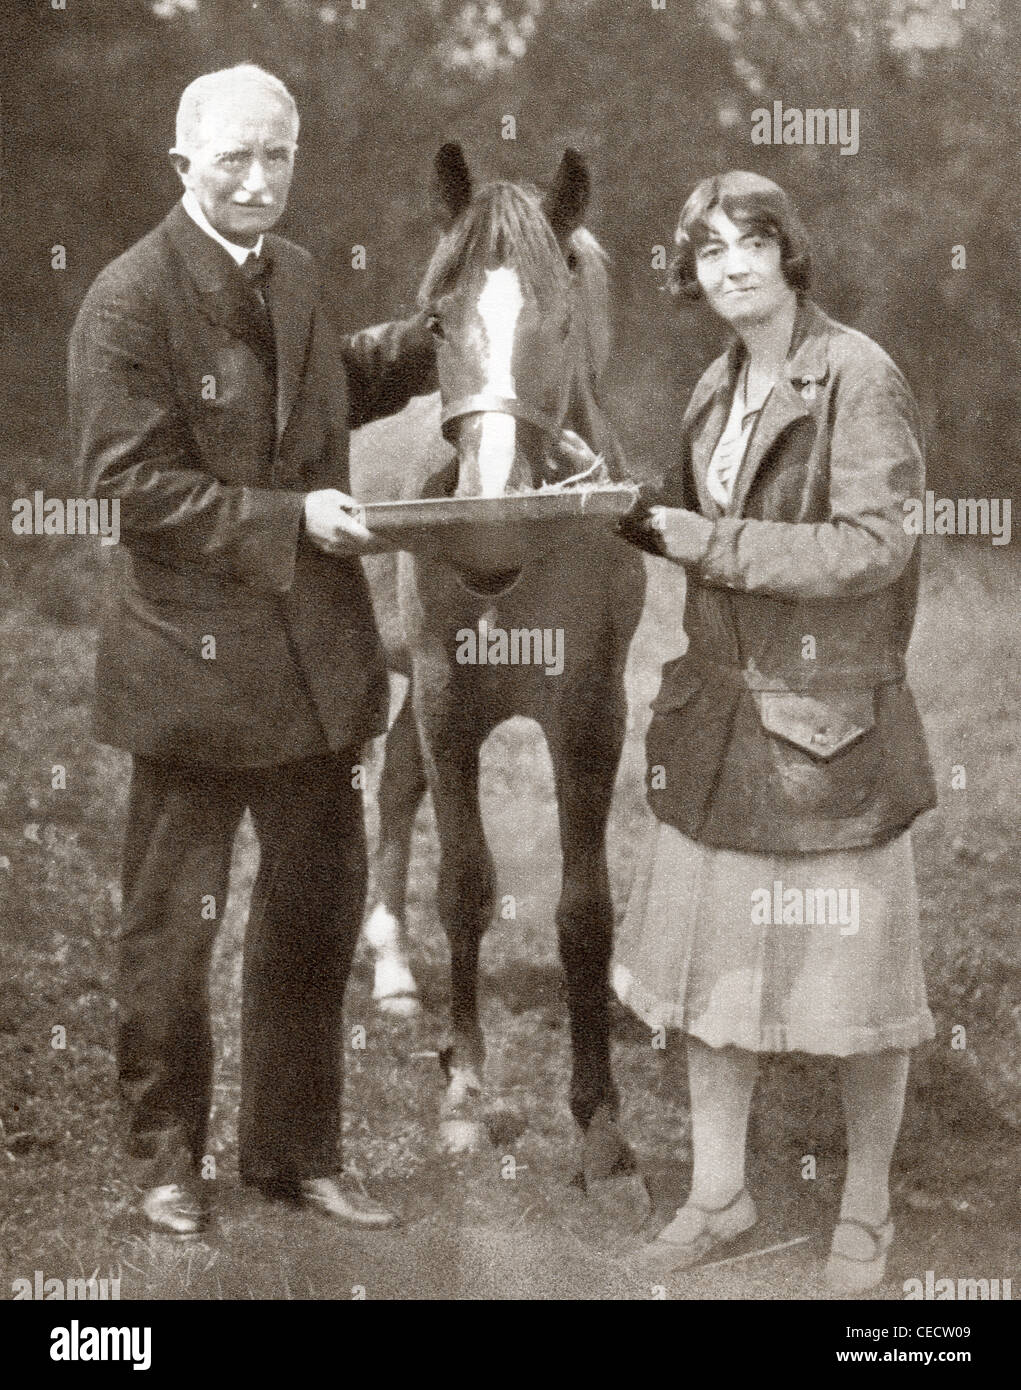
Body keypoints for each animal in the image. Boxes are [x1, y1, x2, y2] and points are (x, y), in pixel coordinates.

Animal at [351, 143, 647, 1195]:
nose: (485, 523)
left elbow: (585, 909)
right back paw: (393, 967)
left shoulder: (591, 715)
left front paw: (599, 1121)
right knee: (392, 786)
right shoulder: (449, 698)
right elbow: (467, 887)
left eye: (561, 321)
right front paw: (465, 1095)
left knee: (396, 779)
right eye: (438, 322)